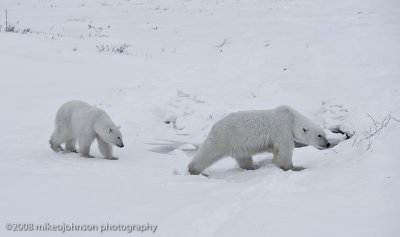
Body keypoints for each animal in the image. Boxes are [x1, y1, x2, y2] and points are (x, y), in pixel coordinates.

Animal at [189, 105, 330, 174]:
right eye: (319, 135)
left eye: (324, 134)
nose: (328, 144)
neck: (291, 118)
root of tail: (215, 126)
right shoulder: (282, 129)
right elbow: (283, 152)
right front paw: (295, 168)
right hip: (225, 138)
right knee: (207, 153)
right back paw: (193, 170)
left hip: (238, 145)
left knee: (244, 159)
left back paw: (253, 168)